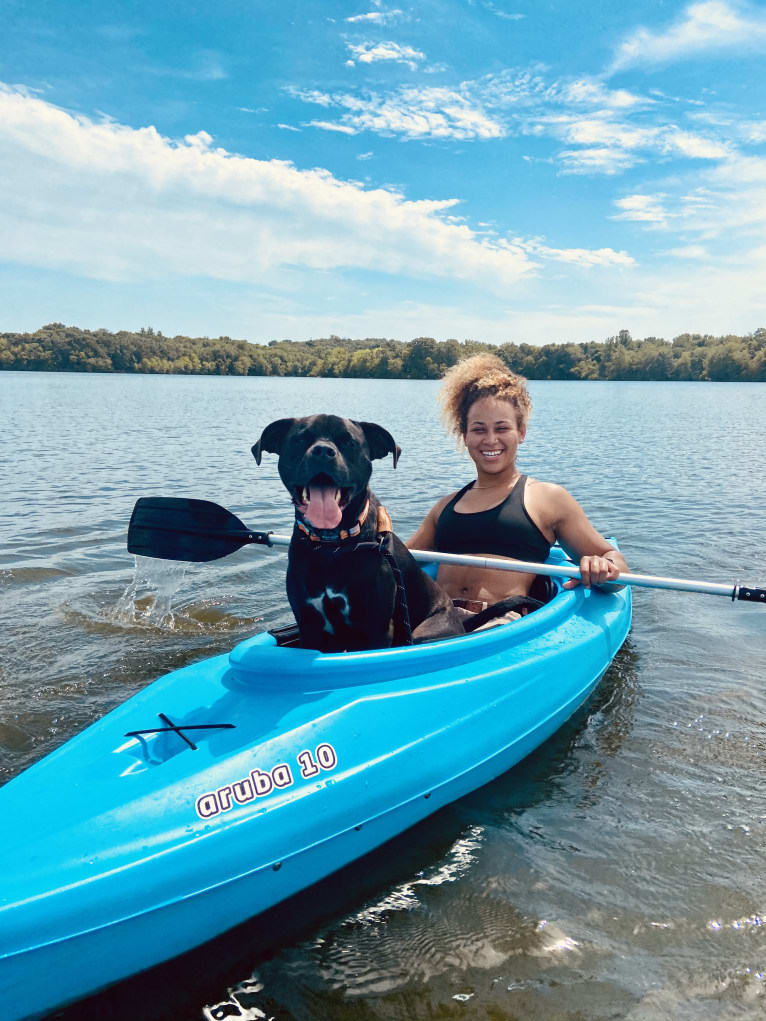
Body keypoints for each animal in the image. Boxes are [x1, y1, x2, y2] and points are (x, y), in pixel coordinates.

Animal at [255, 414, 465, 653]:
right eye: (300, 439)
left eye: (349, 442)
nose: (323, 451)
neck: (332, 547)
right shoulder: (309, 627)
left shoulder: (377, 627)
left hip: (427, 632)